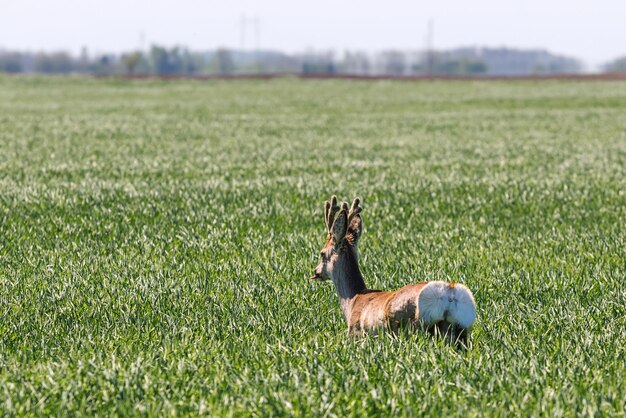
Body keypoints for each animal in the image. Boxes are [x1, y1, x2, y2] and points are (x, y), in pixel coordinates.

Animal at [310, 194, 476, 344]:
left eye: (322, 253)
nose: (316, 272)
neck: (352, 301)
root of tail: (450, 293)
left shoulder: (354, 333)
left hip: (414, 326)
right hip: (459, 330)